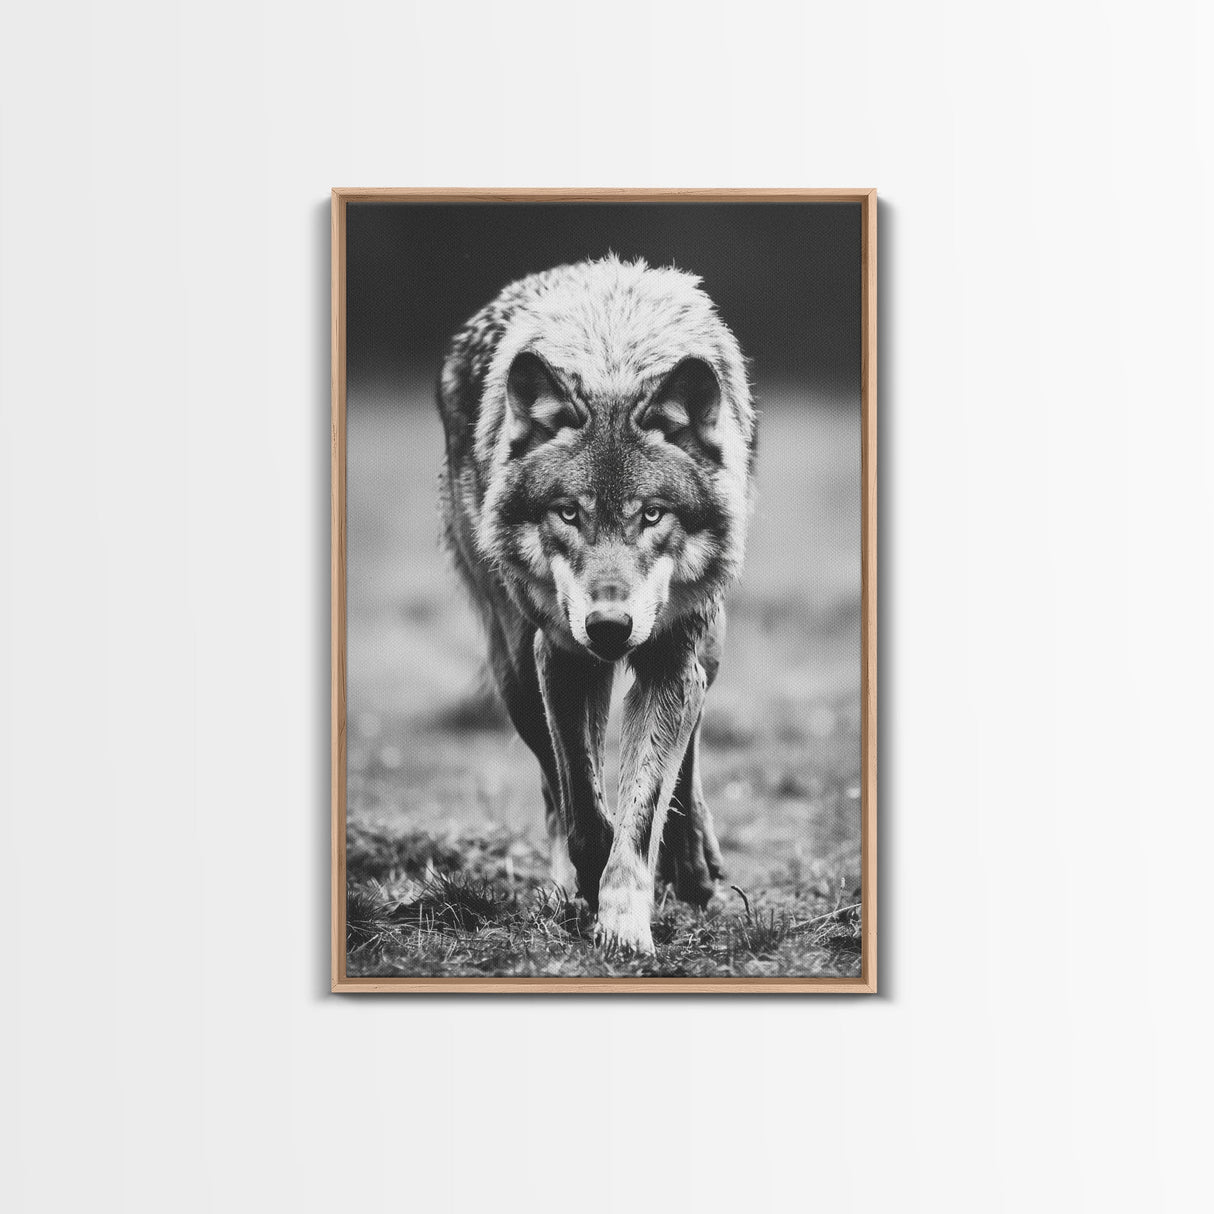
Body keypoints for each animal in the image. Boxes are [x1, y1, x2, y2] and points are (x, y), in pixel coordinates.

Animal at [436, 255, 756, 954]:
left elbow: (643, 802)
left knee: (689, 745)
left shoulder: (668, 659)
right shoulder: (560, 656)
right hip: (514, 668)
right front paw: (592, 878)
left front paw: (626, 922)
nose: (610, 626)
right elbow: (583, 802)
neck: (613, 359)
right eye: (568, 513)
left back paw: (693, 862)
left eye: (652, 515)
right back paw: (571, 884)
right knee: (554, 788)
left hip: (706, 644)